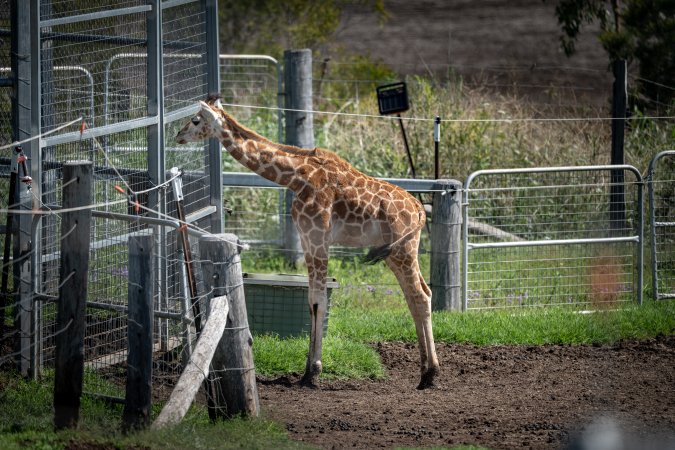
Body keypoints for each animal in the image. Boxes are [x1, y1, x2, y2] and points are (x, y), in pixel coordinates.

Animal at [175, 96, 440, 389]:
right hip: (397, 252)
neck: (295, 176)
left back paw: (431, 373)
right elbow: (311, 299)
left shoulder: (318, 237)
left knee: (419, 295)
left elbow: (318, 300)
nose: (178, 135)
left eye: (196, 120)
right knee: (419, 295)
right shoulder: (306, 238)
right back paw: (424, 372)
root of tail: (419, 209)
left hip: (403, 250)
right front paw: (306, 371)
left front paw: (313, 372)